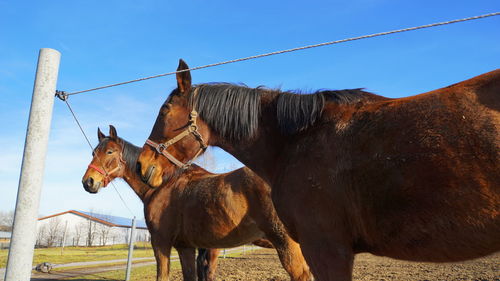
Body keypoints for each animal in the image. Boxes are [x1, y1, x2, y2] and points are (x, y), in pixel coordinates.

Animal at [82, 126, 310, 280]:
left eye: (109, 152)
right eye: (93, 152)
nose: (88, 182)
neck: (163, 184)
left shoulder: (161, 242)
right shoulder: (186, 247)